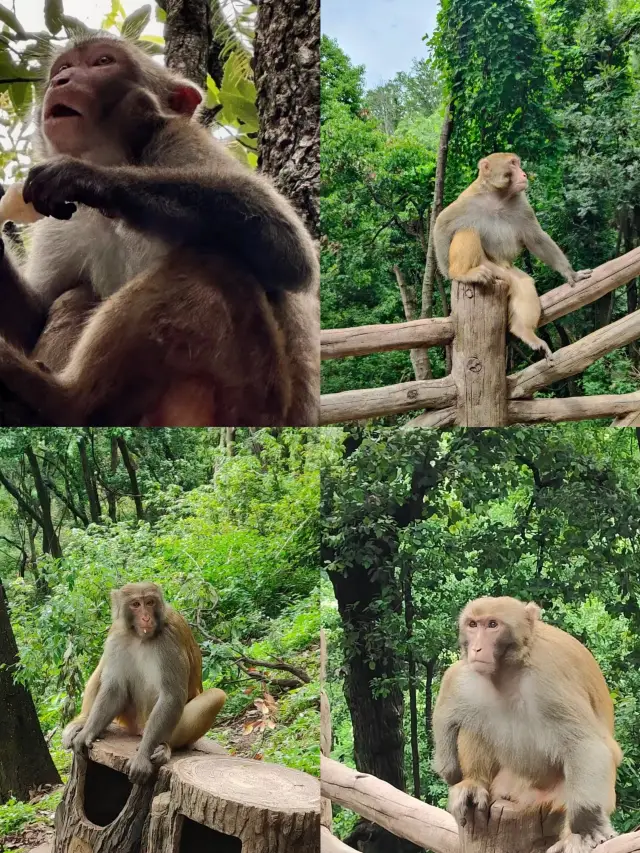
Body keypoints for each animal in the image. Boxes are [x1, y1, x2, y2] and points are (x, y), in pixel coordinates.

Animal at [0, 33, 320, 426]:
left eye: (103, 61)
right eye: (63, 67)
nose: (62, 80)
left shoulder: (177, 138)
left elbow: (289, 251)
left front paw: (84, 175)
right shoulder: (58, 221)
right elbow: (36, 314)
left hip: (253, 395)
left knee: (212, 263)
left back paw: (62, 399)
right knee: (78, 294)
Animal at [432, 596, 624, 852]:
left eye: (492, 625)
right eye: (472, 624)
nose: (476, 648)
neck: (510, 668)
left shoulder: (549, 676)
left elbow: (585, 744)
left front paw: (586, 827)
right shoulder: (472, 673)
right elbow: (450, 699)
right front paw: (450, 769)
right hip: (503, 781)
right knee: (474, 721)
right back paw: (474, 782)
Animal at [436, 153, 592, 360]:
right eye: (512, 164)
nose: (524, 174)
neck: (498, 196)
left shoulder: (521, 203)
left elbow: (536, 239)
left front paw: (570, 273)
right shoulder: (467, 200)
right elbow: (442, 225)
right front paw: (450, 274)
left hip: (504, 271)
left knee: (523, 284)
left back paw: (524, 330)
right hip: (488, 265)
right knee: (467, 230)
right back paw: (464, 272)